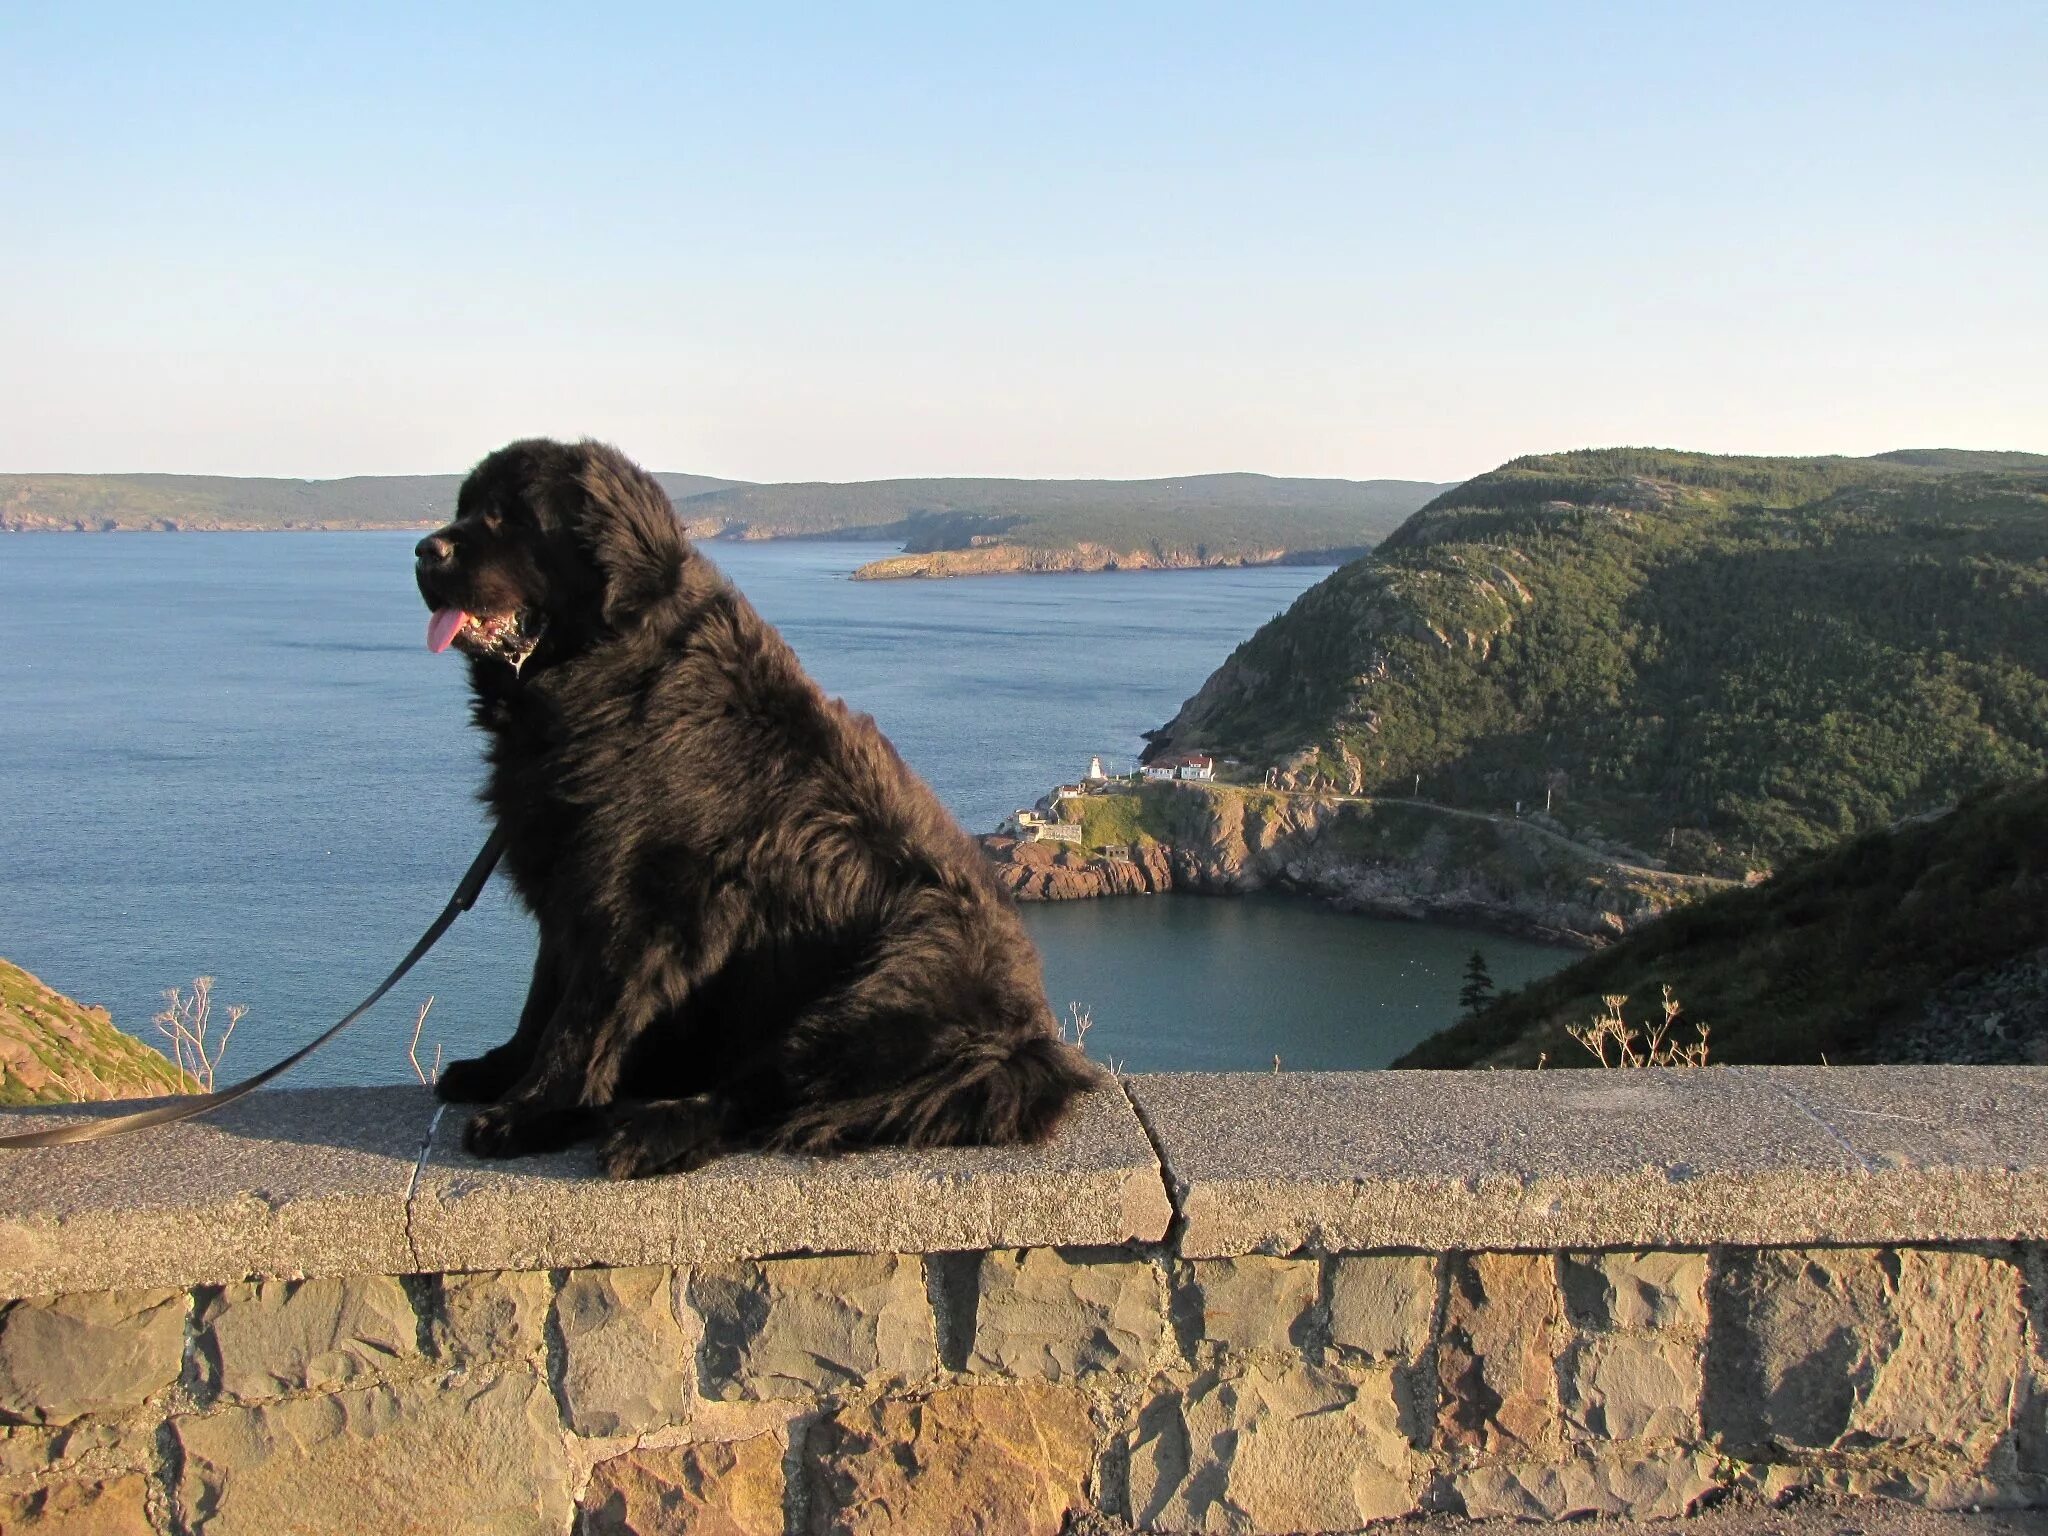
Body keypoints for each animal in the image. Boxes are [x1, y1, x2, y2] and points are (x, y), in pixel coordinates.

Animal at [407, 438, 1097, 1187]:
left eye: (513, 517)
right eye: (467, 506)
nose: (422, 550)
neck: (612, 675)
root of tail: (1023, 1046)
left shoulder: (640, 898)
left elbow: (581, 1018)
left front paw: (530, 1114)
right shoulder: (566, 881)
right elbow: (542, 1000)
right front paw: (498, 1071)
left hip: (894, 969)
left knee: (764, 1093)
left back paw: (654, 1130)